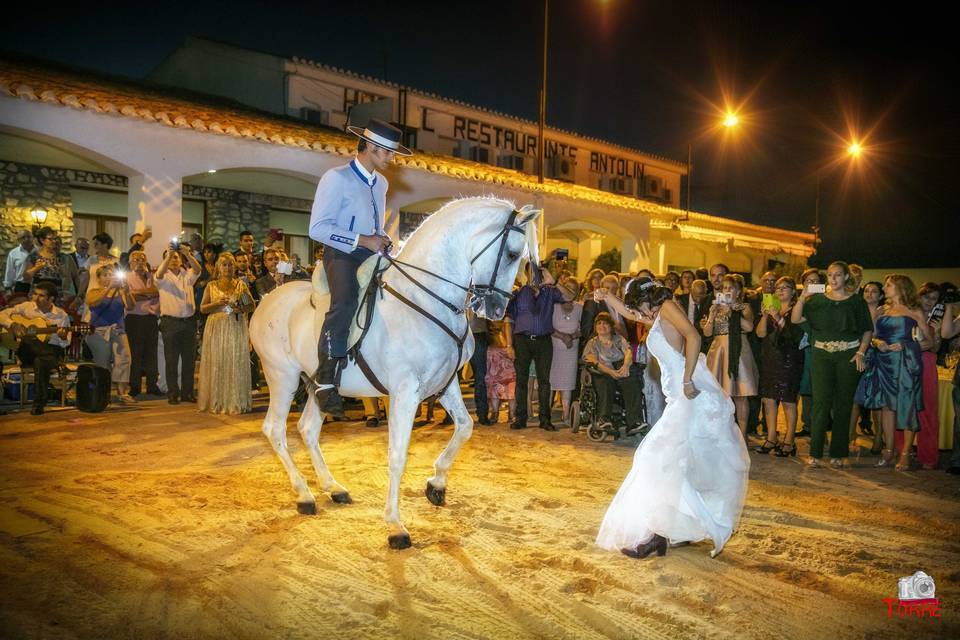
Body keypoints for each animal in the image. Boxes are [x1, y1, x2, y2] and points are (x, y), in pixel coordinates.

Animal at [249, 198, 540, 548]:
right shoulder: (405, 392)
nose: (495, 310)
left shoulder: (445, 384)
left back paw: (334, 488)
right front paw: (395, 525)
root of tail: (267, 299)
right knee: (275, 430)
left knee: (307, 429)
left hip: (319, 385)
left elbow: (465, 427)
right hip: (283, 377)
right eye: (511, 253)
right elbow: (398, 455)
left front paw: (436, 485)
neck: (424, 298)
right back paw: (305, 496)